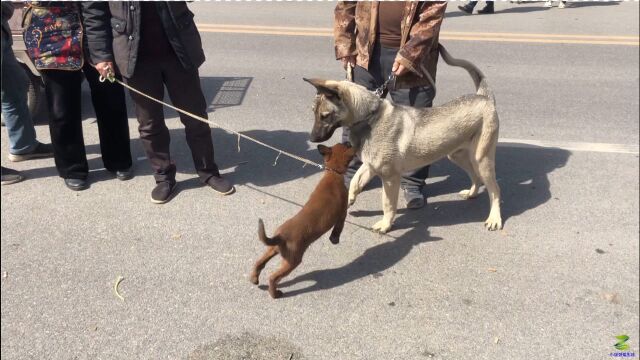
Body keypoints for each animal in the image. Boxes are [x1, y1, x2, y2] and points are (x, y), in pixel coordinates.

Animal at [251, 143, 356, 298]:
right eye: (346, 145)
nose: (350, 142)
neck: (333, 173)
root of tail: (280, 237)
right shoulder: (342, 213)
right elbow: (338, 228)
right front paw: (334, 239)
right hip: (293, 260)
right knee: (273, 277)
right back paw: (275, 294)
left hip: (272, 250)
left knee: (259, 263)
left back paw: (253, 279)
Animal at [308, 45, 502, 233]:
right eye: (313, 112)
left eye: (325, 115)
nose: (312, 139)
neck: (369, 116)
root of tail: (484, 96)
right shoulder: (370, 166)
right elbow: (355, 181)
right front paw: (347, 201)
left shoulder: (389, 178)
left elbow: (387, 204)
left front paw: (385, 224)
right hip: (457, 156)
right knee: (476, 177)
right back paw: (472, 193)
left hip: (481, 159)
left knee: (495, 190)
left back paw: (494, 219)